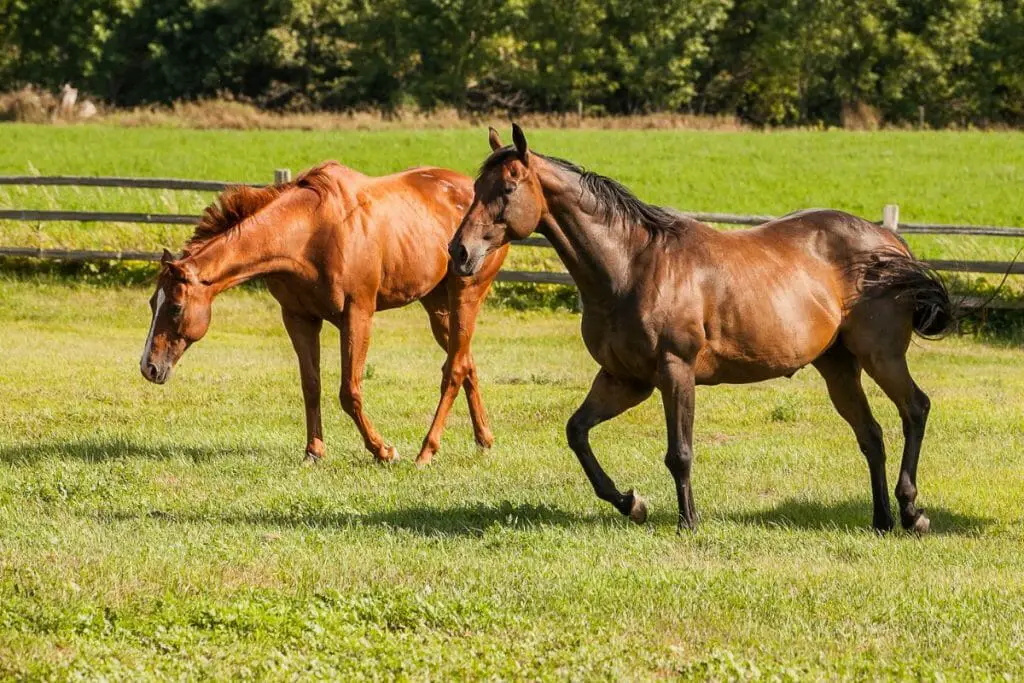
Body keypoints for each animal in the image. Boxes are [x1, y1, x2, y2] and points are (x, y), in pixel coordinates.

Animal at [142, 162, 509, 466]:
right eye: (151, 303)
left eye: (175, 307)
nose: (149, 367)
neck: (310, 233)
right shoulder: (299, 318)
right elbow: (311, 386)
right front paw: (314, 452)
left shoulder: (357, 315)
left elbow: (349, 391)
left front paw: (383, 451)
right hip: (437, 307)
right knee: (466, 363)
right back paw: (483, 440)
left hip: (466, 296)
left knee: (456, 367)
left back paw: (431, 450)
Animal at [452, 126, 954, 532]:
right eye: (475, 187)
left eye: (508, 187)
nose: (459, 252)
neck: (632, 266)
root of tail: (889, 242)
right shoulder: (624, 379)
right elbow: (577, 432)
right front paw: (631, 503)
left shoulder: (676, 371)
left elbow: (680, 452)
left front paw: (687, 522)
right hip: (838, 366)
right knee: (871, 435)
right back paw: (882, 519)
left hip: (881, 357)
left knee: (915, 409)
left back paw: (912, 512)